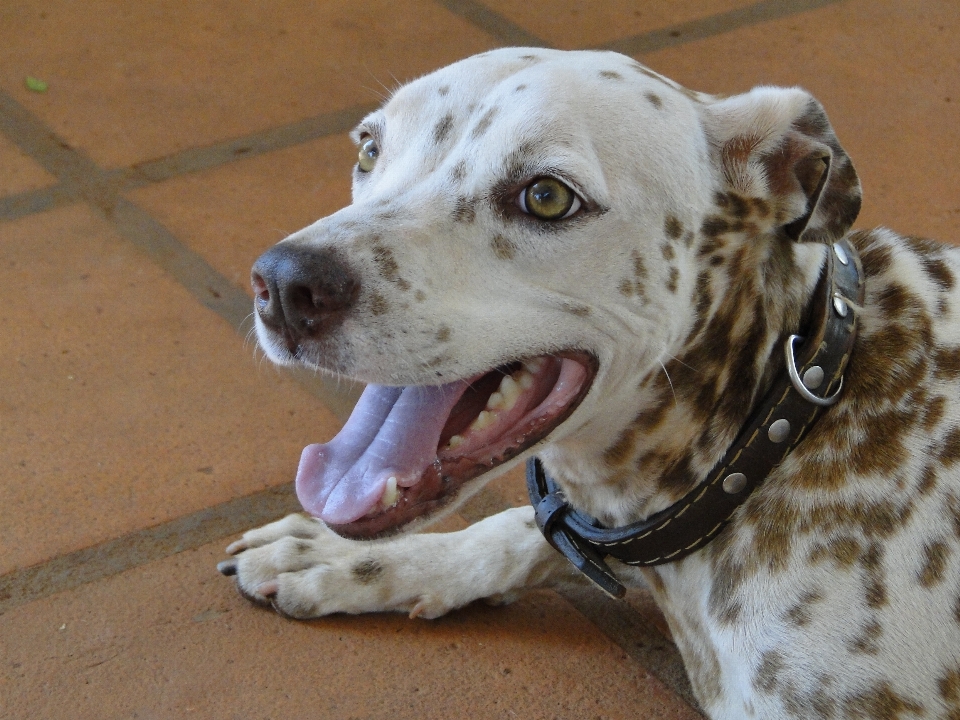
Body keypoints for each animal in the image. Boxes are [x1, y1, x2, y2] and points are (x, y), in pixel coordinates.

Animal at [218, 47, 960, 716]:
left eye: (546, 197)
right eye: (370, 149)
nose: (282, 283)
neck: (772, 429)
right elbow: (524, 524)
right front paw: (342, 558)